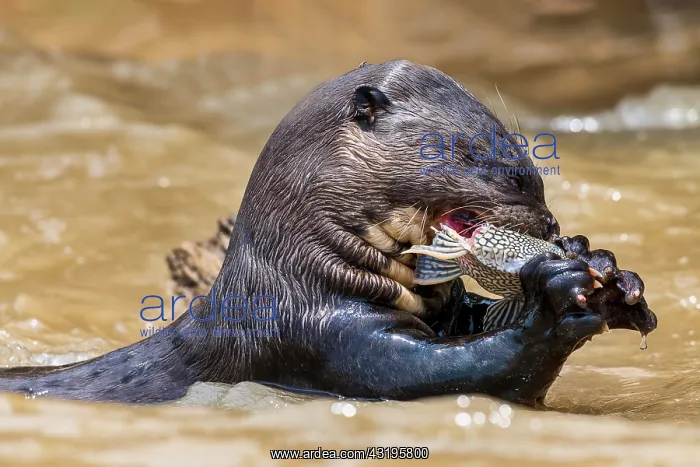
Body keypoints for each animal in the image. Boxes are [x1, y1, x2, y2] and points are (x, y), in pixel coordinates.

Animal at [0, 60, 656, 406]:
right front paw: (558, 298)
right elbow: (452, 373)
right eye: (478, 156)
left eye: (528, 162)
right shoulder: (320, 337)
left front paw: (602, 264)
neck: (299, 278)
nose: (550, 223)